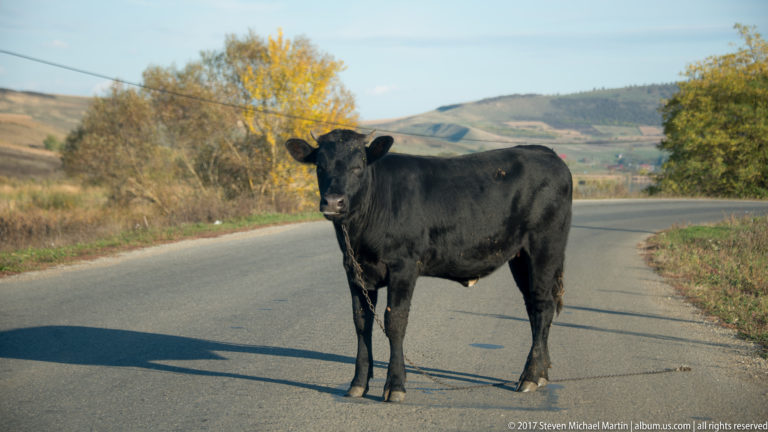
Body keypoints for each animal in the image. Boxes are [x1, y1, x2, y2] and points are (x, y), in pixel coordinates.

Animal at [285, 129, 572, 402]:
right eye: (320, 166)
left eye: (358, 165)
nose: (333, 202)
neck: (357, 234)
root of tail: (544, 152)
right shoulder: (354, 271)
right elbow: (361, 321)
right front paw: (358, 384)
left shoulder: (404, 267)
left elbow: (395, 321)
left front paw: (395, 385)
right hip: (520, 257)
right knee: (533, 308)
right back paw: (541, 372)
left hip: (545, 247)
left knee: (543, 306)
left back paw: (530, 377)